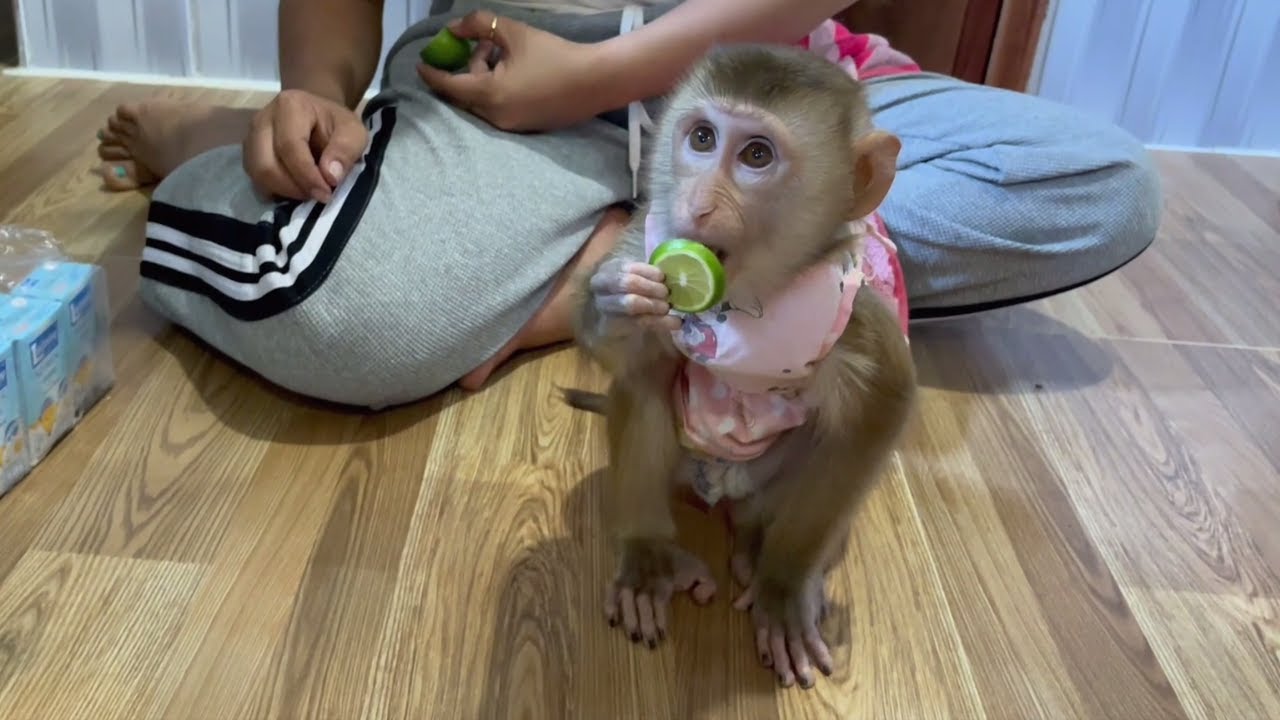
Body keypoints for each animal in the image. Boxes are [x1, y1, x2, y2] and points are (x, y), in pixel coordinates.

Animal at [565, 43, 917, 690]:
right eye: (702, 138)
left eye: (757, 155)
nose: (697, 205)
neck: (752, 295)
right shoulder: (644, 238)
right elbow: (628, 351)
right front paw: (615, 301)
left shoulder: (855, 312)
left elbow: (877, 412)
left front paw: (783, 584)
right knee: (647, 377)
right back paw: (649, 553)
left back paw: (755, 544)